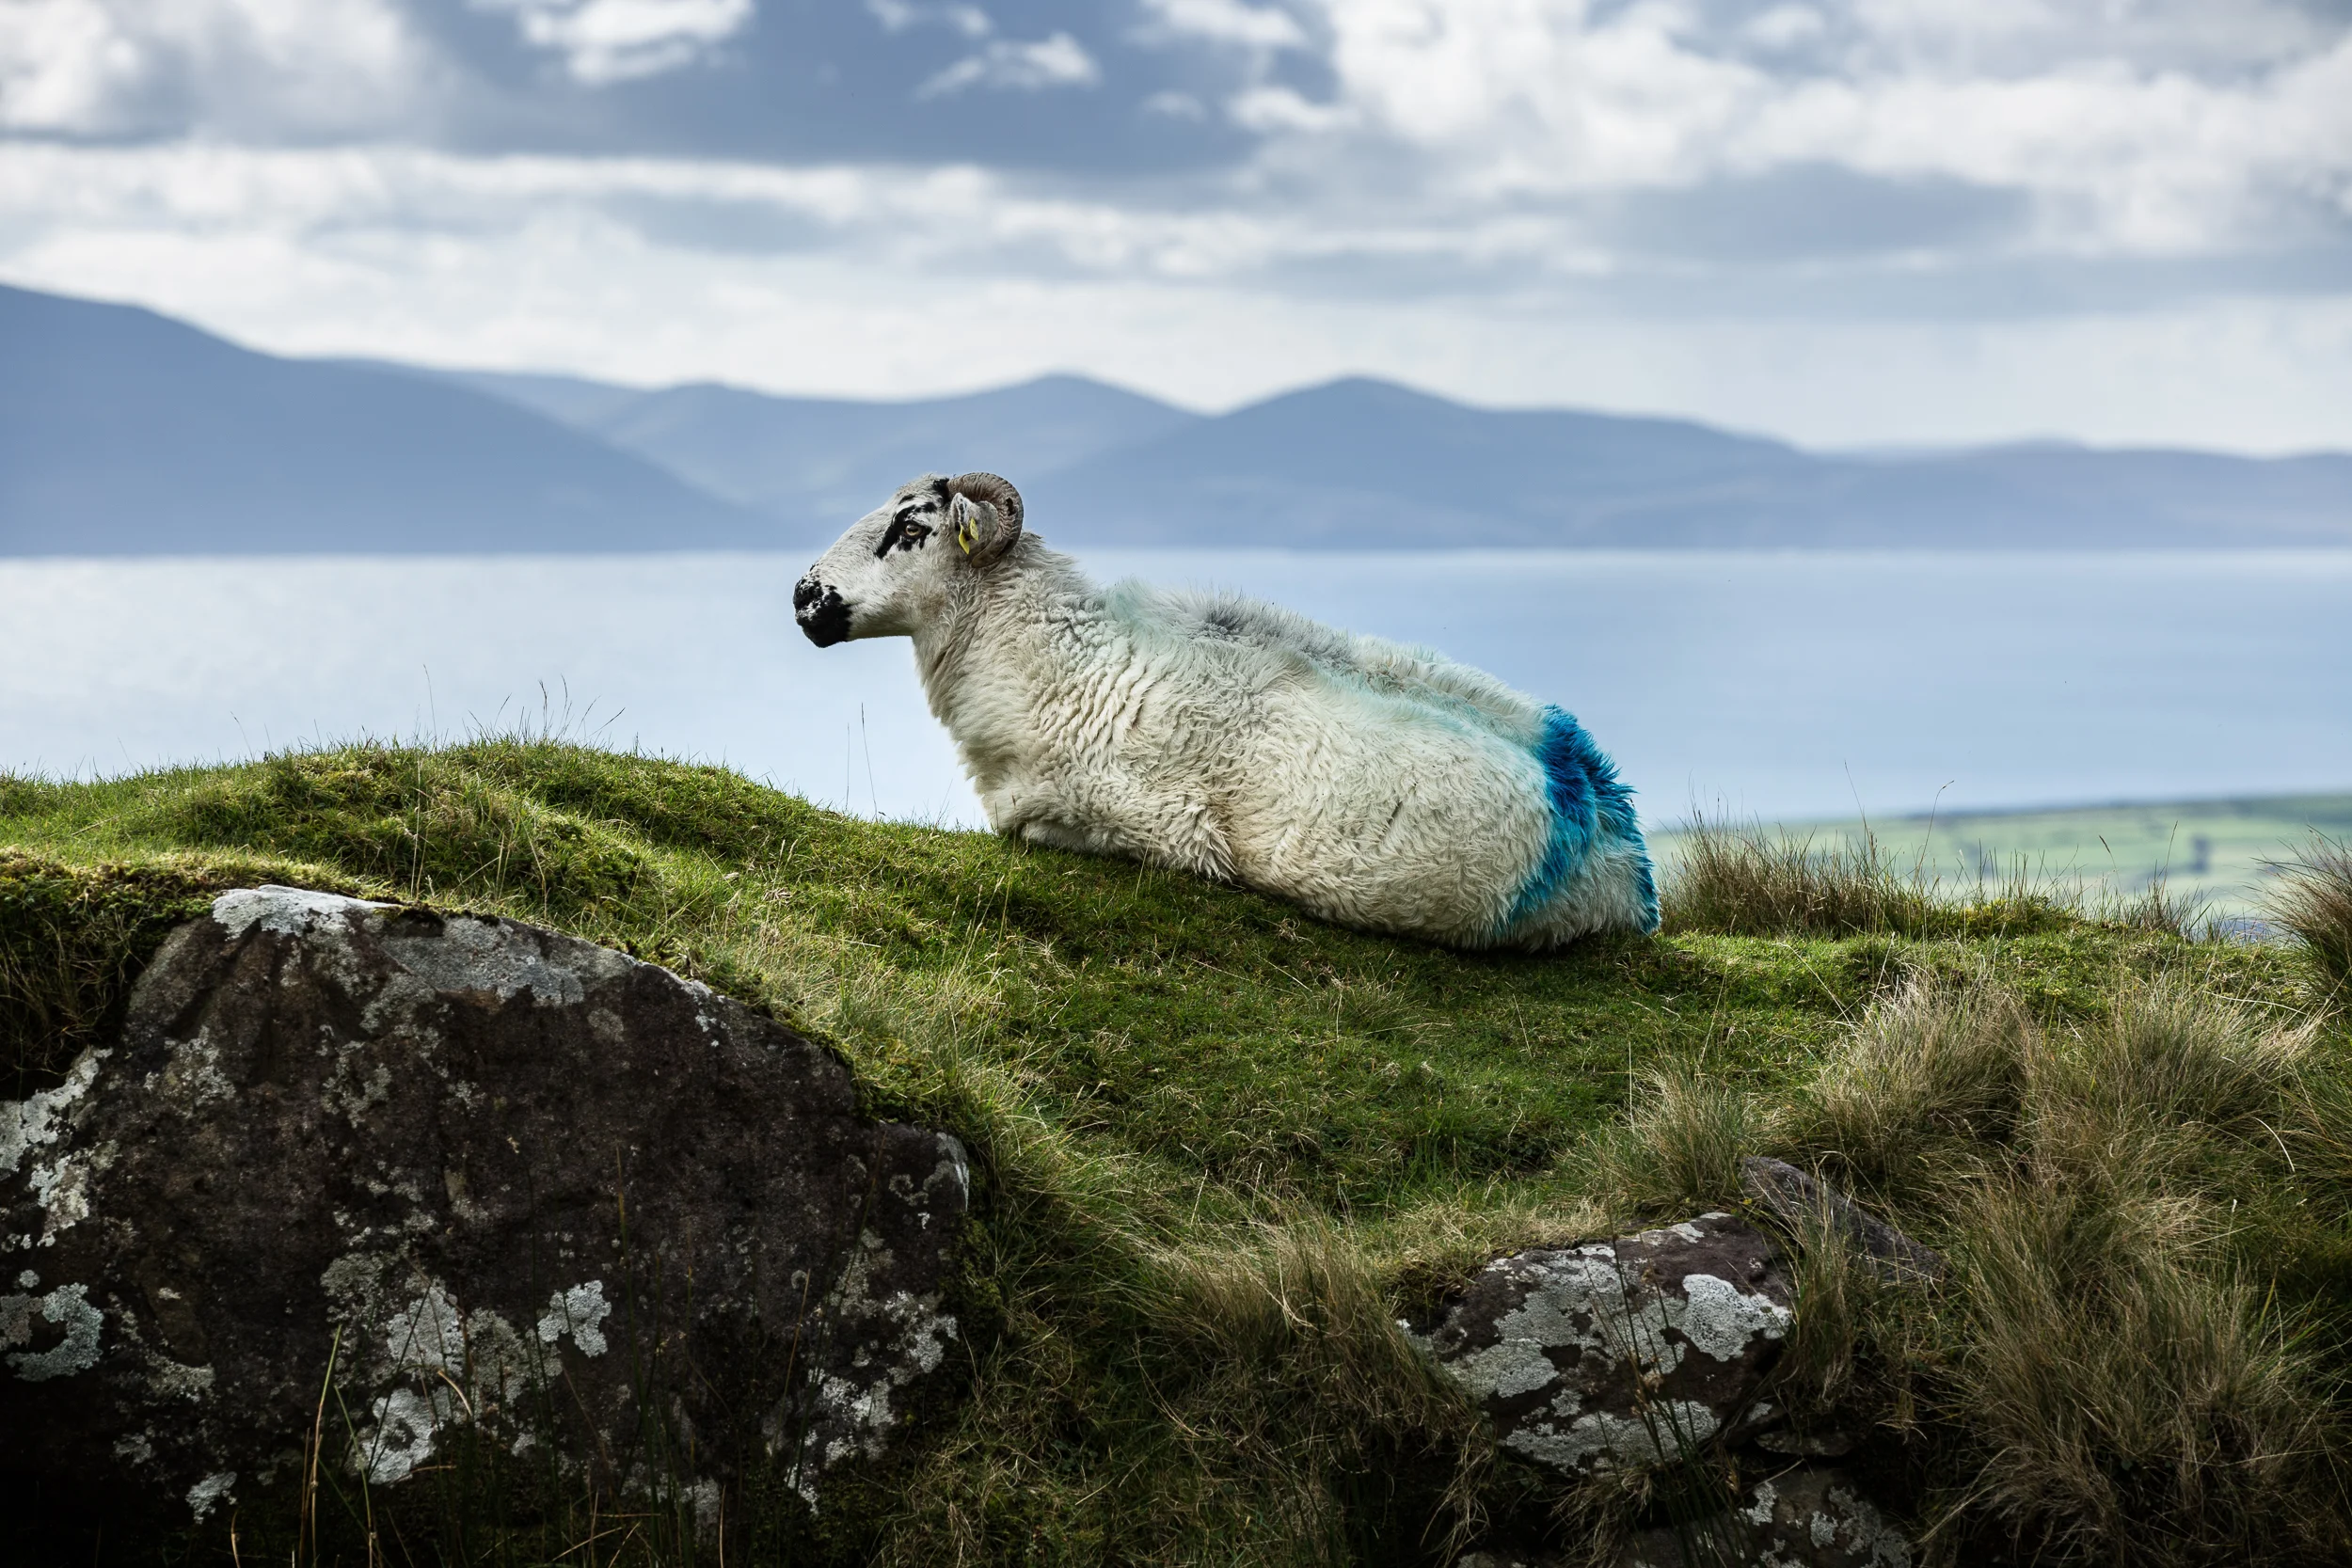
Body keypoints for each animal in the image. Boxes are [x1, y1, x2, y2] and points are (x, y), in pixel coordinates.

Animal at [792, 472, 1659, 949]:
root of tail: (1601, 804)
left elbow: (1024, 823)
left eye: (911, 527)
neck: (1062, 657)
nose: (804, 595)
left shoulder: (1153, 824)